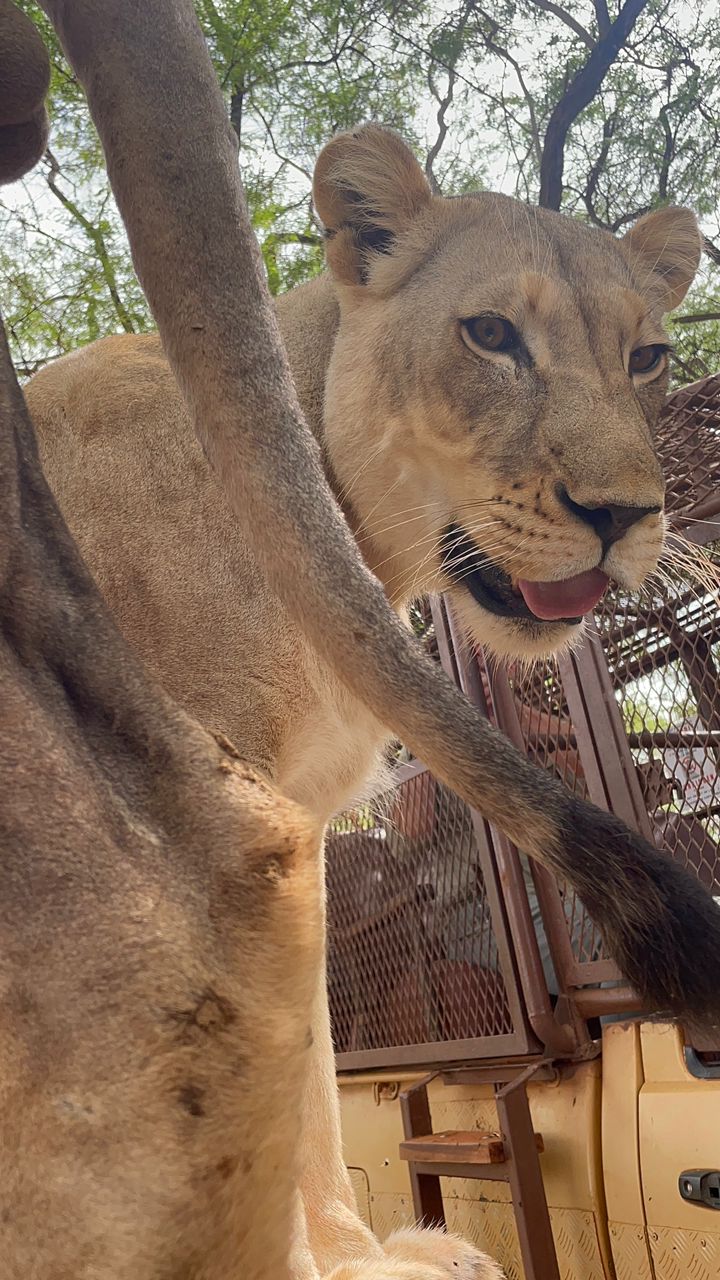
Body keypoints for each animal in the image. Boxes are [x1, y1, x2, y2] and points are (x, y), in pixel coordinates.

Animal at [26, 110, 718, 1280]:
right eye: (490, 334)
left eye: (648, 356)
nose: (623, 514)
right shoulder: (189, 834)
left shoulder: (294, 823)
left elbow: (313, 1076)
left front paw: (360, 1253)